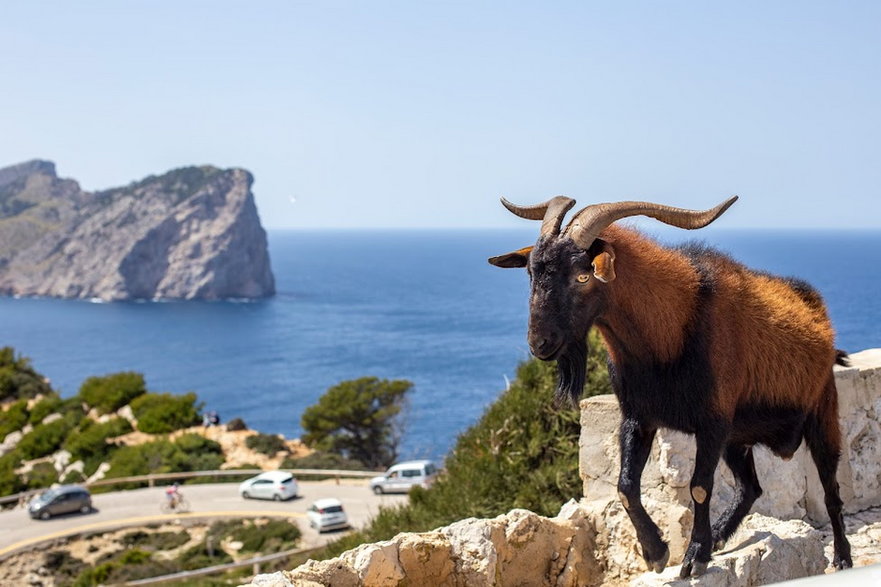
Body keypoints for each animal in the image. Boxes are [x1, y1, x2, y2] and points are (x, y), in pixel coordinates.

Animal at [488, 198, 852, 580]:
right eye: (531, 273)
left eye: (582, 275)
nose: (540, 343)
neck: (668, 335)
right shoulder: (638, 418)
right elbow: (625, 487)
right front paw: (656, 551)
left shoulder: (712, 423)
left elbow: (700, 487)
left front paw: (694, 557)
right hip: (737, 439)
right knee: (750, 487)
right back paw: (719, 536)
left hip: (821, 415)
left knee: (831, 492)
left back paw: (842, 557)